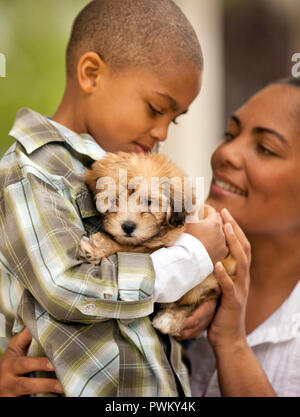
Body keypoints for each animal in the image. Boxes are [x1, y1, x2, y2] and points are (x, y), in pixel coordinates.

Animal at [78, 151, 234, 336]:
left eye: (149, 202)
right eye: (115, 199)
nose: (128, 226)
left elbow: (130, 247)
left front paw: (96, 247)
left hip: (206, 283)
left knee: (195, 301)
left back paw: (170, 319)